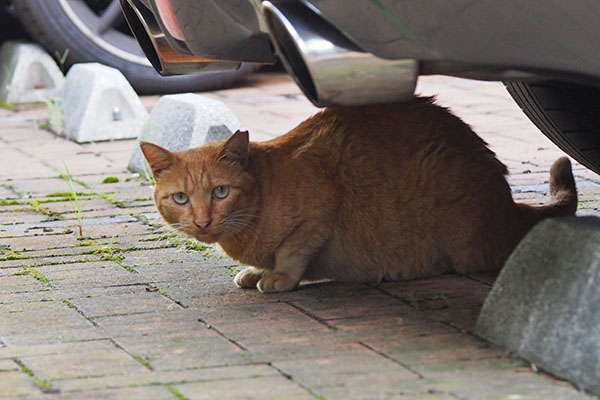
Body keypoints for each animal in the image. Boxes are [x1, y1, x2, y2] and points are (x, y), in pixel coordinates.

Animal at [141, 95, 576, 292]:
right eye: (181, 199)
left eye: (220, 191)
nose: (202, 222)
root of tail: (508, 204)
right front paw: (259, 272)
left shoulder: (319, 211)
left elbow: (291, 252)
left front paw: (277, 277)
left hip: (461, 241)